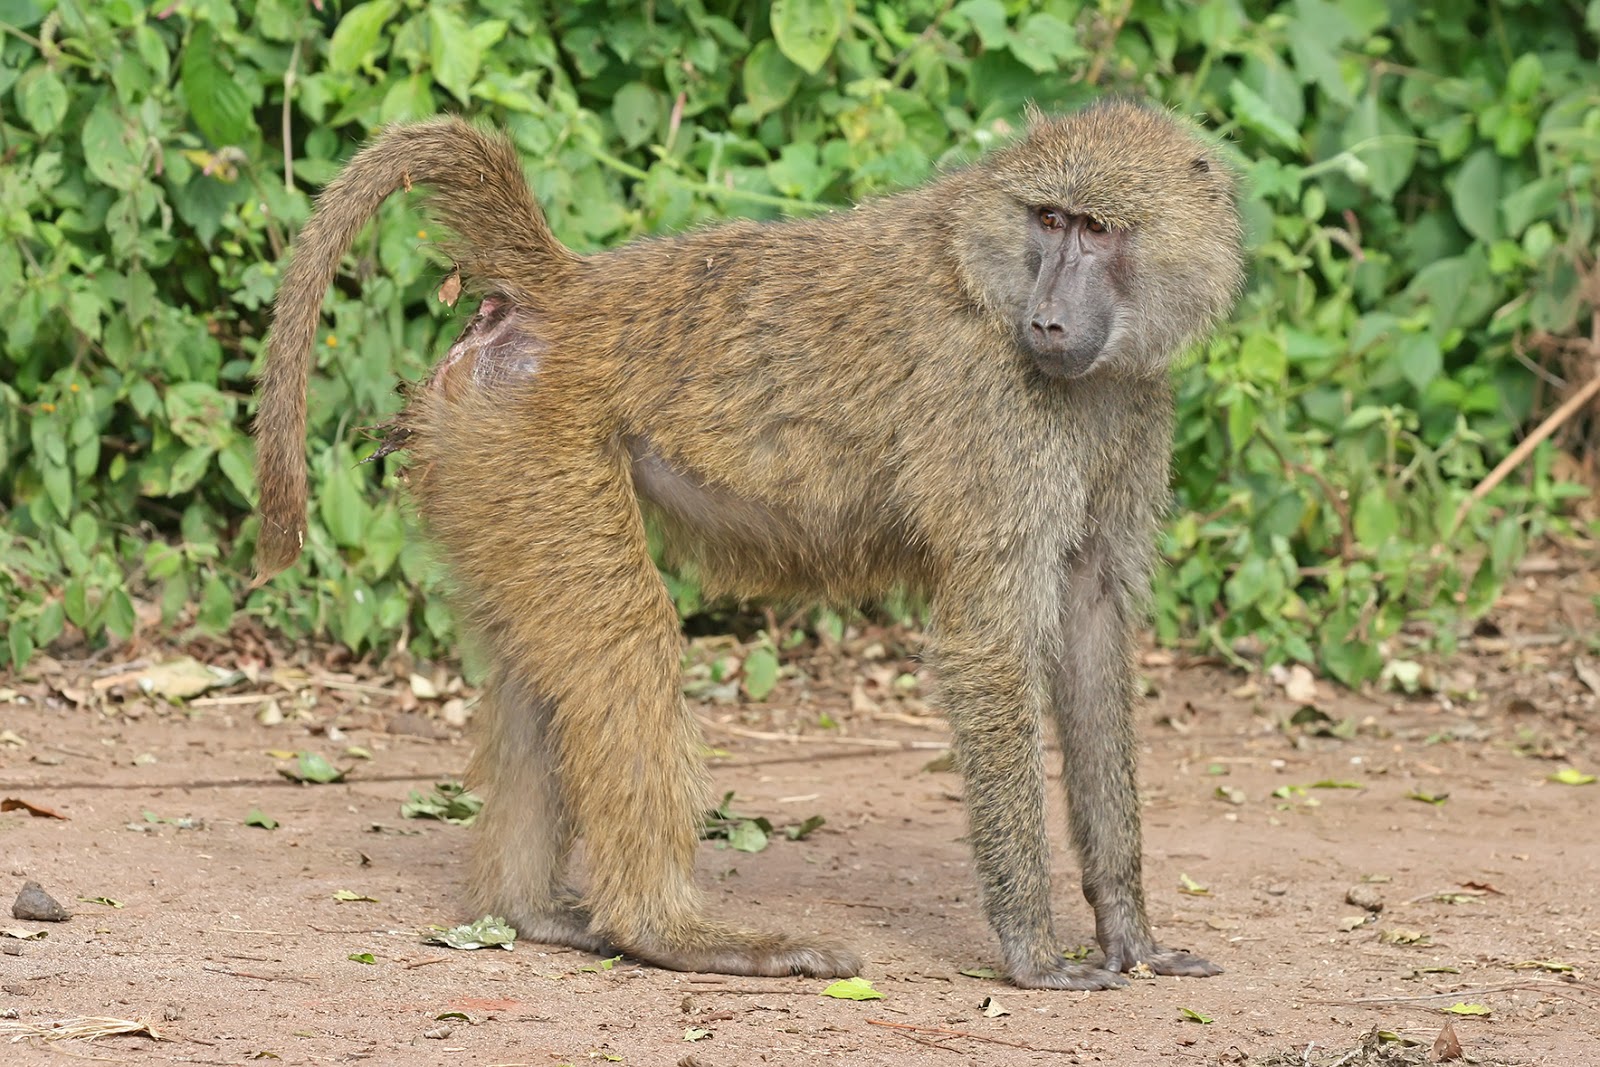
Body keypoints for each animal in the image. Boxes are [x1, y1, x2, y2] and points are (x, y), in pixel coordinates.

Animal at [252, 99, 1245, 990]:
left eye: (1098, 229)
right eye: (1049, 221)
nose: (1046, 322)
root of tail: (568, 287)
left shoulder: (1130, 406)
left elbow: (1092, 626)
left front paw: (1132, 934)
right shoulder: (992, 412)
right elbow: (991, 648)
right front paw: (1033, 951)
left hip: (483, 451)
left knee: (549, 664)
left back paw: (531, 913)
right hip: (538, 441)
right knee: (622, 644)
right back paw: (669, 932)